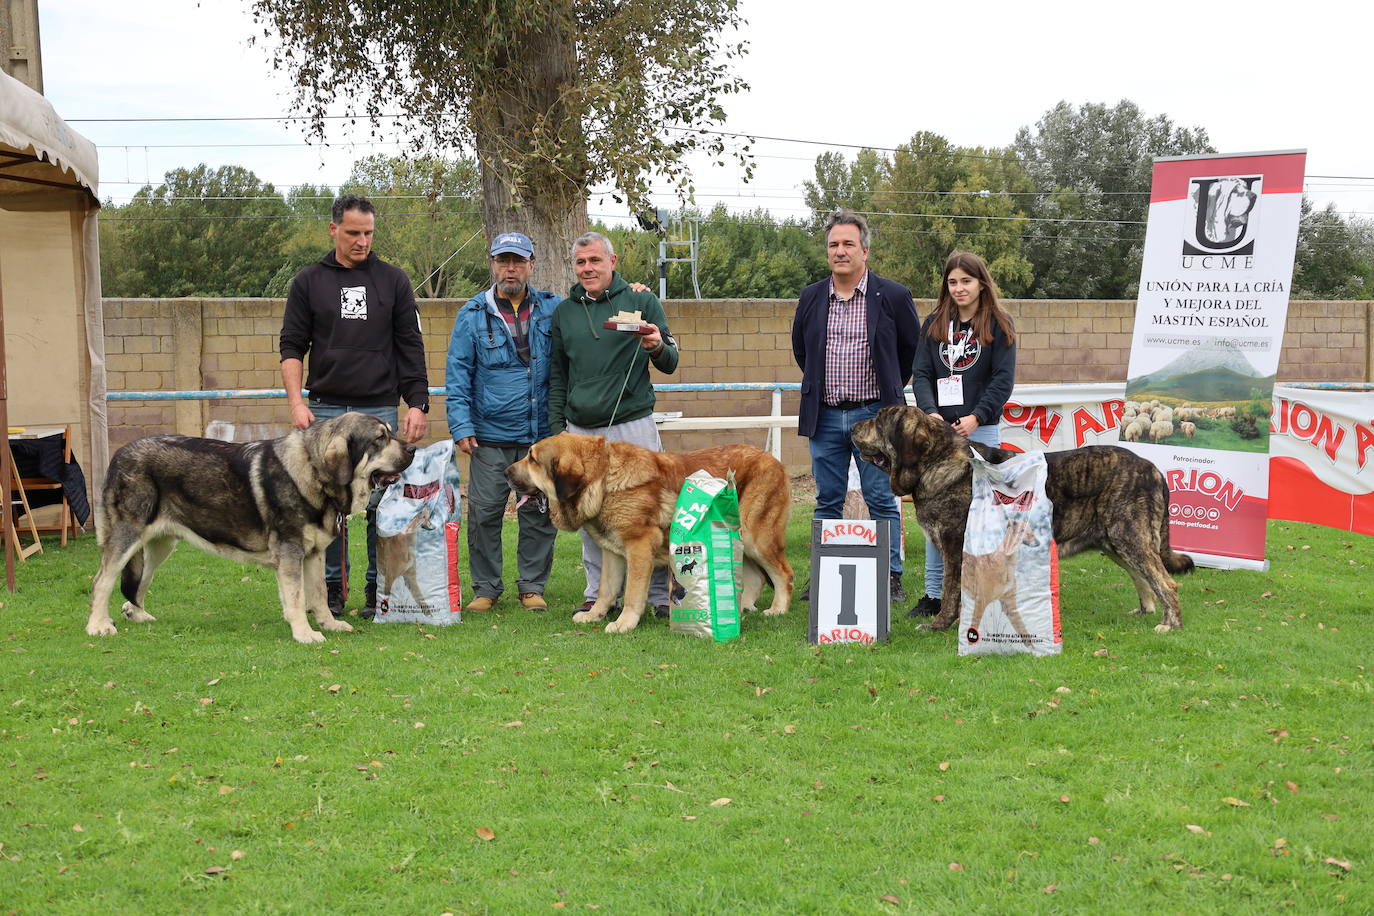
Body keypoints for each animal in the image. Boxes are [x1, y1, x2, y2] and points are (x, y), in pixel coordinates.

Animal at [85, 414, 412, 645]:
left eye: (391, 432)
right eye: (380, 438)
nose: (412, 448)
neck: (314, 472)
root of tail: (119, 454)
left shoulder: (313, 554)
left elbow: (318, 594)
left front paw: (329, 624)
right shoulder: (290, 552)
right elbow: (297, 598)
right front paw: (304, 634)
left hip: (161, 544)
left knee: (140, 581)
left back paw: (137, 613)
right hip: (127, 536)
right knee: (102, 580)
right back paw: (98, 625)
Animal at [846, 406, 1192, 631]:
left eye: (878, 421)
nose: (852, 427)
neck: (936, 461)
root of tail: (1152, 468)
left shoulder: (955, 548)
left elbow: (950, 591)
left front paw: (941, 624)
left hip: (1128, 535)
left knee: (1166, 582)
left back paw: (1170, 624)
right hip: (1114, 541)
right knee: (1144, 579)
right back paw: (1146, 611)